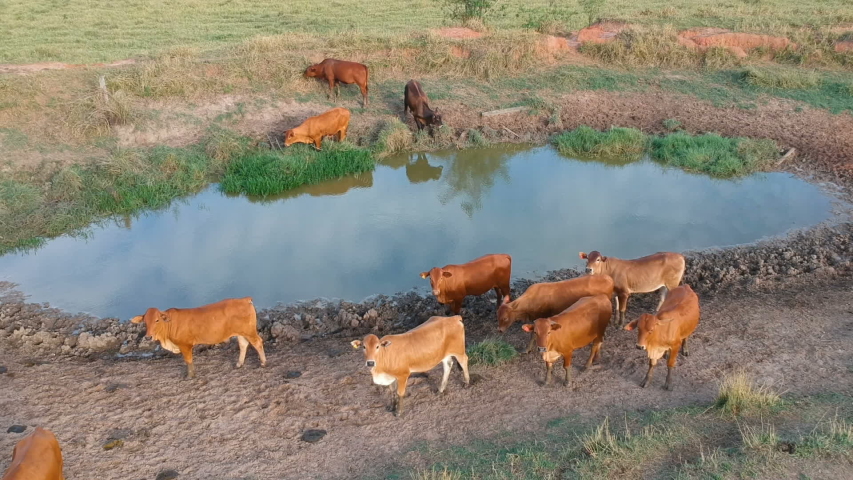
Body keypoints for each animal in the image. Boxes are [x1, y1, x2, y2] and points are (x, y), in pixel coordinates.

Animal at [130, 297, 266, 379]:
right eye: (145, 322)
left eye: (157, 320)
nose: (148, 337)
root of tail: (244, 299)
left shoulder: (185, 345)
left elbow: (188, 360)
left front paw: (190, 376)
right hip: (241, 333)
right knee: (243, 345)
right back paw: (239, 363)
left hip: (249, 331)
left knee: (258, 342)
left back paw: (263, 362)